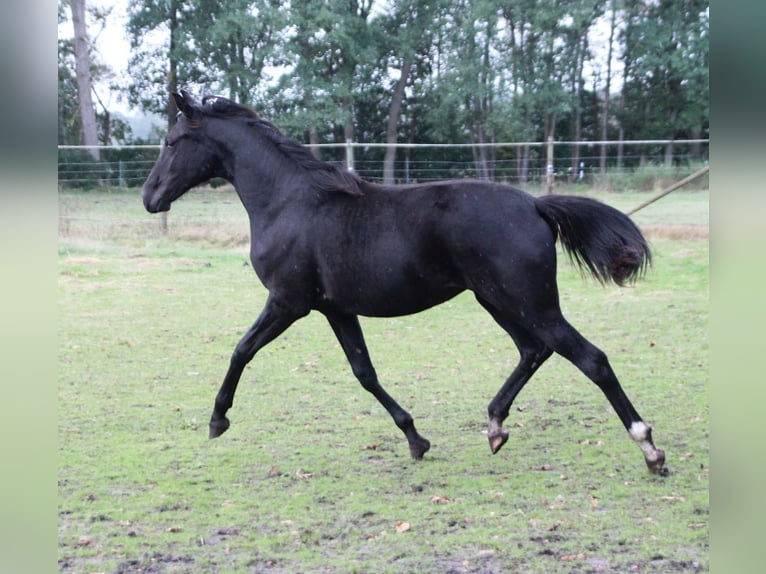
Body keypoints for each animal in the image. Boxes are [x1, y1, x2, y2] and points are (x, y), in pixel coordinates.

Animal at [142, 92, 664, 474]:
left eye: (171, 141)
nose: (150, 197)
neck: (289, 202)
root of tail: (535, 204)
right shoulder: (335, 308)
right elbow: (364, 372)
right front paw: (416, 439)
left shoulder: (288, 302)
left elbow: (241, 350)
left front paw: (218, 419)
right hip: (497, 300)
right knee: (533, 350)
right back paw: (495, 426)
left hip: (529, 302)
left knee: (590, 359)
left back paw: (650, 450)